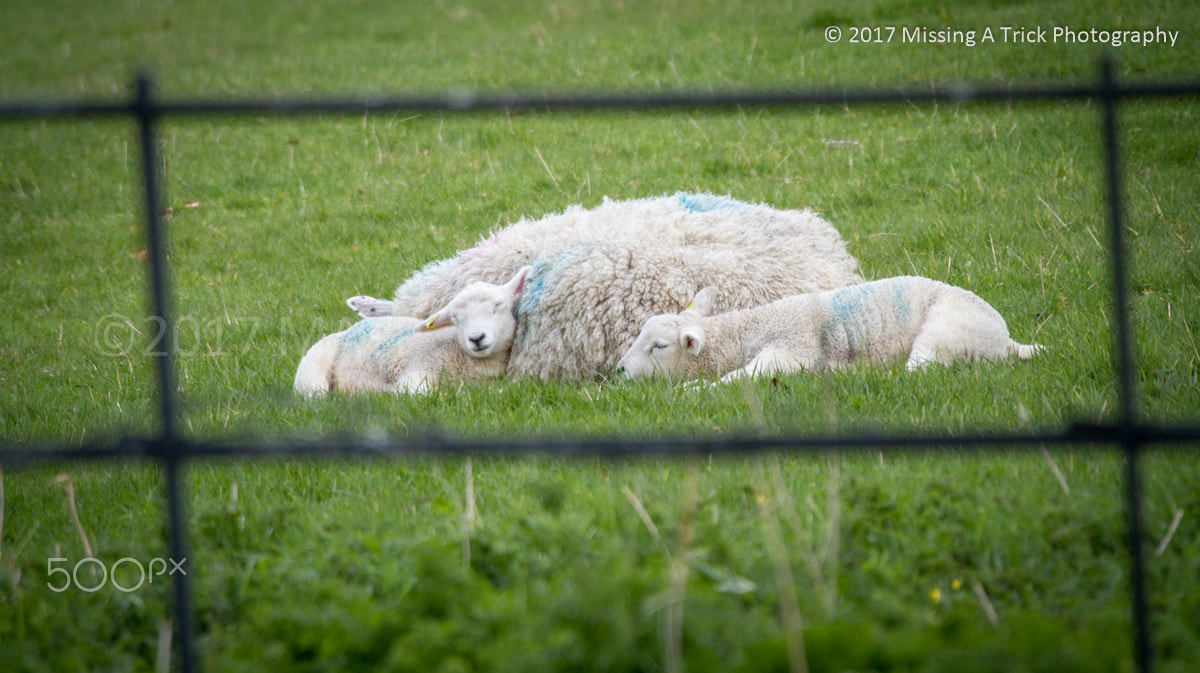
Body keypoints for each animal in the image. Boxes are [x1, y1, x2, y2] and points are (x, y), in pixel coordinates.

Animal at [294, 267, 531, 396]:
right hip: (311, 375)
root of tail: (345, 331)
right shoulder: (418, 368)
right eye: (455, 318)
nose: (476, 338)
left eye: (498, 305)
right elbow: (413, 394)